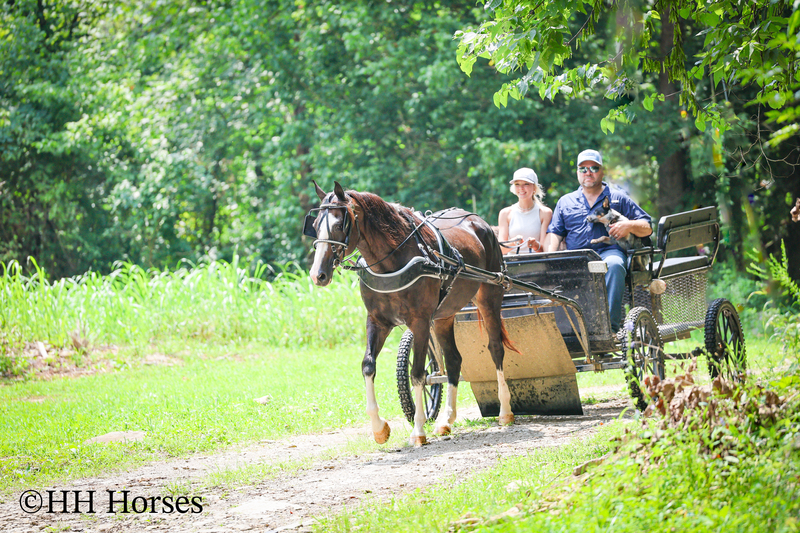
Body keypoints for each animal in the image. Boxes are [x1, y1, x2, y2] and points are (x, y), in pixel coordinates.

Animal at [307, 181, 516, 446]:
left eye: (338, 225)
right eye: (315, 226)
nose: (318, 274)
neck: (391, 263)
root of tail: (480, 222)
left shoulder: (420, 322)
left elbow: (417, 373)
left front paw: (418, 430)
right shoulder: (377, 321)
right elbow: (368, 366)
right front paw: (379, 428)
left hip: (489, 297)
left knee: (496, 348)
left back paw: (505, 411)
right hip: (444, 315)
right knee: (454, 360)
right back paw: (447, 420)